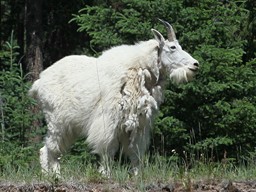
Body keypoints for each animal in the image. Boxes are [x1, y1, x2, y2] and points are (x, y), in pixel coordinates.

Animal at [29, 19, 199, 176]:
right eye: (173, 47)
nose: (195, 65)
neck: (140, 69)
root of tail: (39, 83)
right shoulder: (108, 120)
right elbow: (108, 150)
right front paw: (105, 174)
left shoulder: (139, 123)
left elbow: (135, 152)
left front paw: (137, 176)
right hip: (56, 120)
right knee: (50, 149)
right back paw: (53, 176)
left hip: (68, 126)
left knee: (50, 149)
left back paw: (53, 175)